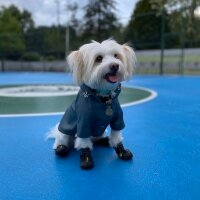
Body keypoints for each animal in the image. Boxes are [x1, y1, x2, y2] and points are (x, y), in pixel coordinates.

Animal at [50, 39, 136, 169]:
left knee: (96, 139)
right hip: (65, 131)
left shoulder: (117, 118)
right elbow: (84, 143)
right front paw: (86, 158)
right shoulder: (84, 123)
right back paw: (61, 148)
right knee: (62, 141)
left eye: (116, 56)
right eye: (98, 58)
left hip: (98, 132)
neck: (103, 98)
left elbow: (116, 136)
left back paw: (105, 140)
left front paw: (121, 151)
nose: (115, 65)